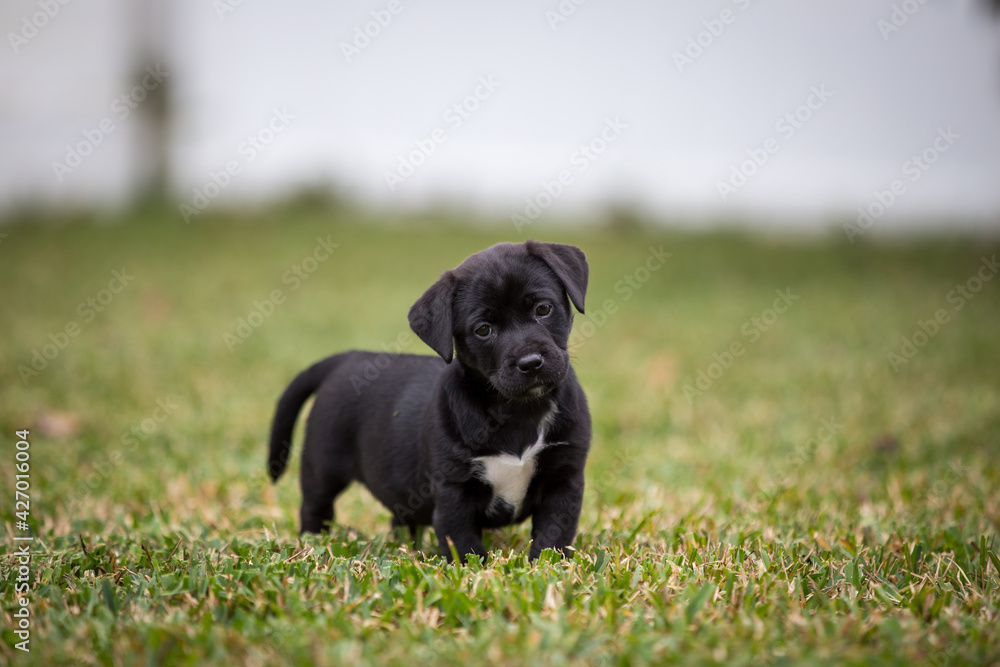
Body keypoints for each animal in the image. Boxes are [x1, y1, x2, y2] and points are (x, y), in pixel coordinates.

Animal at [268, 241, 592, 564]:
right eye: (483, 329)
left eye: (543, 309)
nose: (530, 362)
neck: (519, 411)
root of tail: (347, 358)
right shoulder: (453, 492)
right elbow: (464, 546)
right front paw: (477, 571)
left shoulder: (564, 482)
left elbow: (552, 537)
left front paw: (547, 566)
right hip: (322, 466)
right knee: (315, 508)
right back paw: (311, 545)